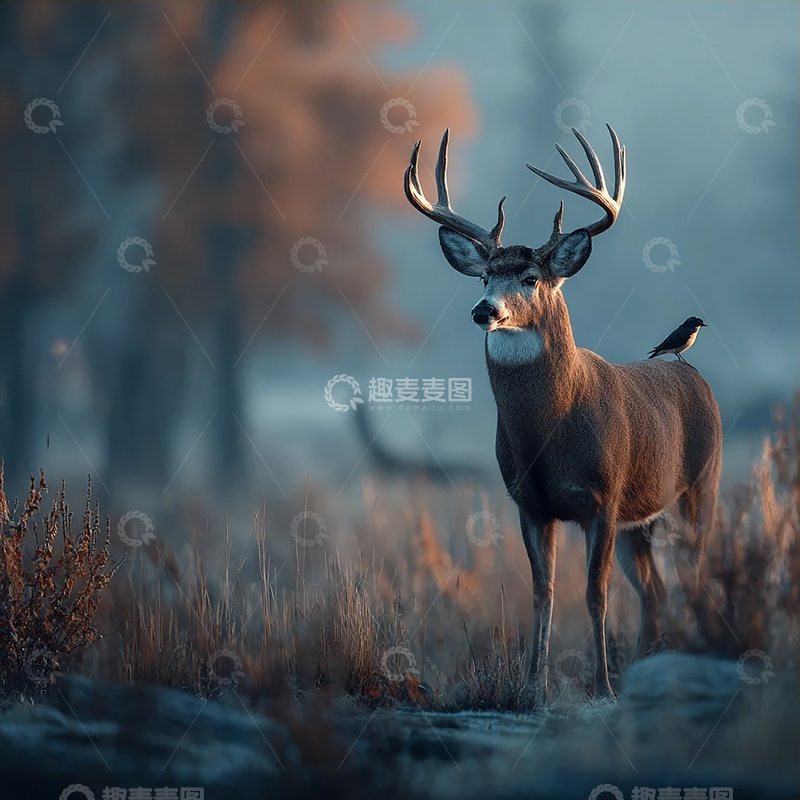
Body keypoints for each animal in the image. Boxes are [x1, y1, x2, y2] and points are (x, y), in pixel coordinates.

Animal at [404, 125, 722, 699]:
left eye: (530, 277)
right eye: (484, 276)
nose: (484, 310)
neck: (548, 435)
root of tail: (700, 381)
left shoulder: (604, 497)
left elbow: (595, 594)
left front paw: (603, 687)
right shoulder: (529, 502)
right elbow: (544, 593)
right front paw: (533, 688)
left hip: (699, 491)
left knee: (691, 578)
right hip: (642, 521)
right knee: (656, 591)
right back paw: (645, 667)